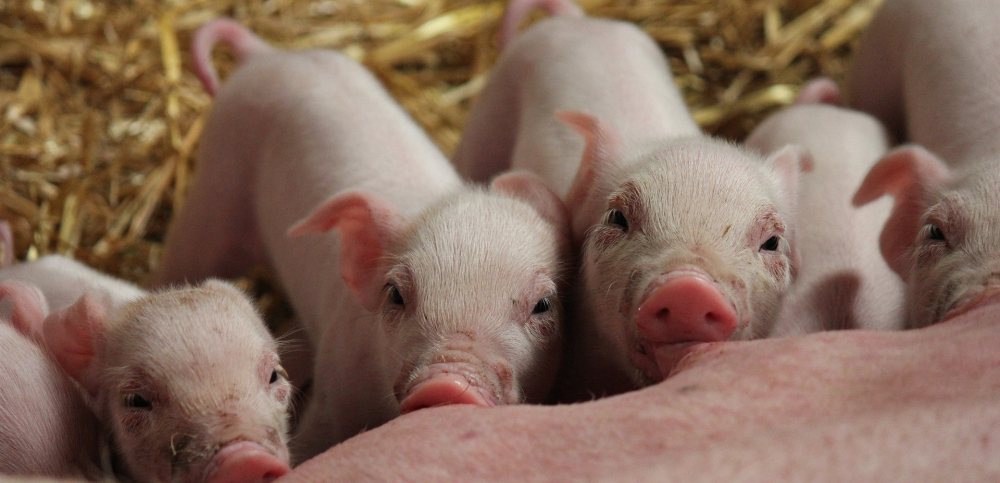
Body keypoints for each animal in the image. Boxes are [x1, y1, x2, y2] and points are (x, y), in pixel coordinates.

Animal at [154, 19, 571, 461]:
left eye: (543, 305)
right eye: (396, 295)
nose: (447, 382)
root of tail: (263, 54)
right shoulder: (336, 391)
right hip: (216, 190)